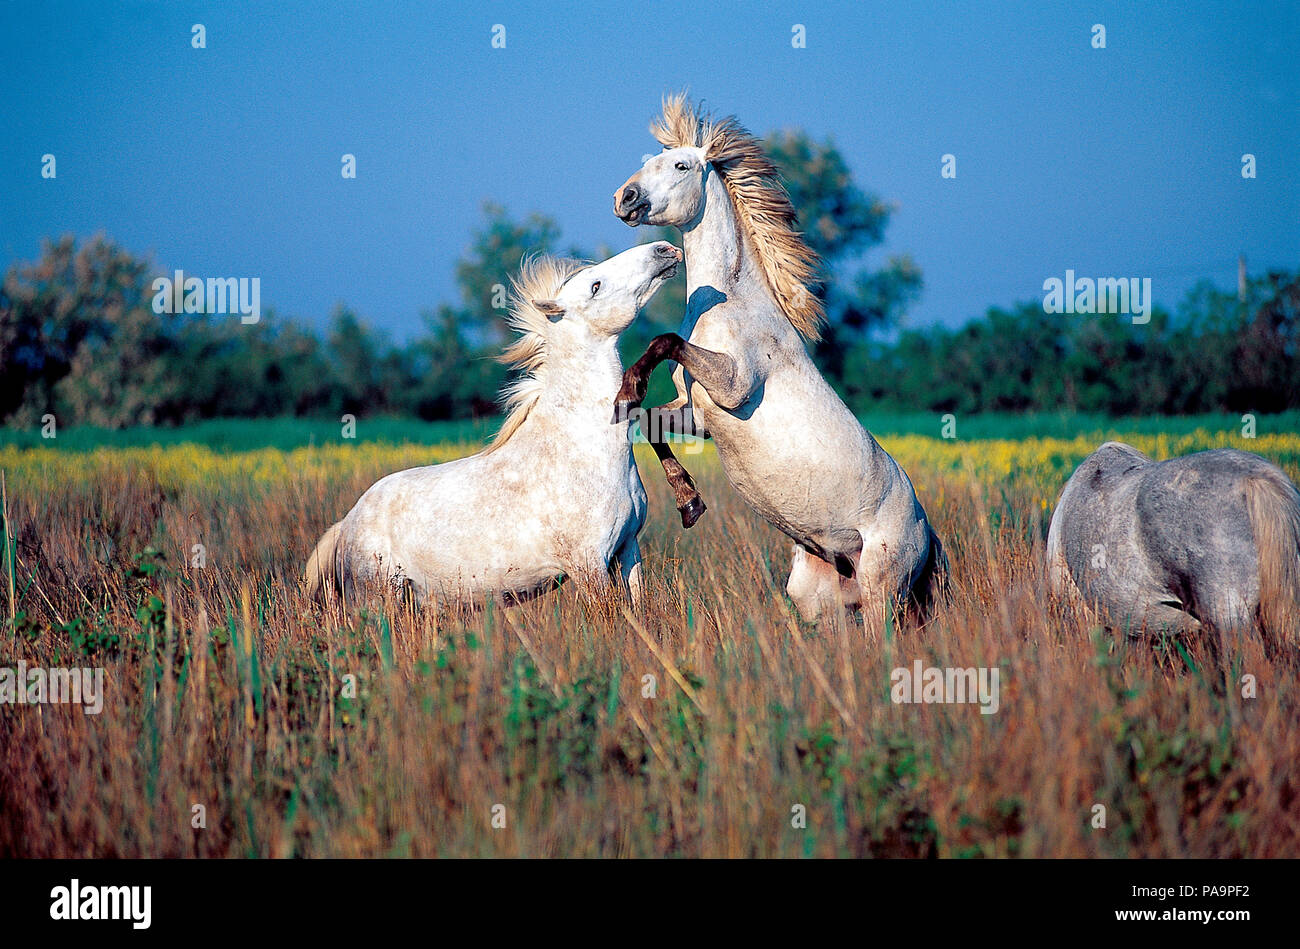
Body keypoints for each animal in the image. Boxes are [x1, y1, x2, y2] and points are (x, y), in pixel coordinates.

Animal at [301, 240, 681, 603]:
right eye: (595, 286)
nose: (664, 249)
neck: (585, 450)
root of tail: (346, 524)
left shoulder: (628, 549)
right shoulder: (588, 564)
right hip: (378, 598)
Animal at [608, 96, 946, 621]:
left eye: (682, 166)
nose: (625, 198)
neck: (731, 303)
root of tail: (926, 533)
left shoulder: (733, 386)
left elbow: (664, 341)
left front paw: (629, 386)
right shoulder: (699, 415)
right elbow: (647, 421)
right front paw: (690, 505)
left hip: (881, 590)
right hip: (819, 598)